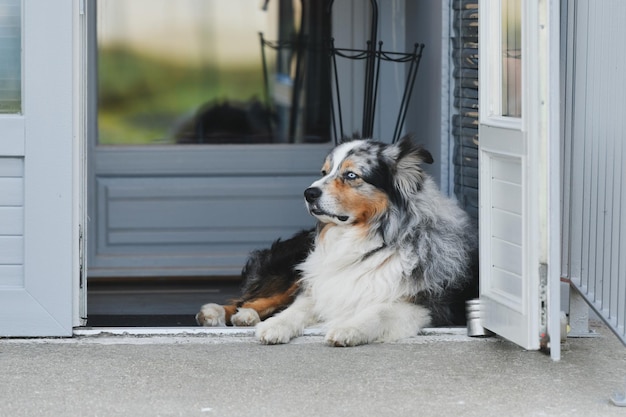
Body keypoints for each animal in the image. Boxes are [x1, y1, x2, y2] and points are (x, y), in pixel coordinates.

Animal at [197, 136, 476, 344]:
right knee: (254, 298)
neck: (364, 240)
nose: (308, 193)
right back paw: (222, 313)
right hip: (298, 266)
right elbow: (297, 308)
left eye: (351, 175)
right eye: (324, 172)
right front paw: (275, 325)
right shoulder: (321, 284)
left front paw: (348, 328)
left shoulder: (423, 306)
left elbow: (378, 311)